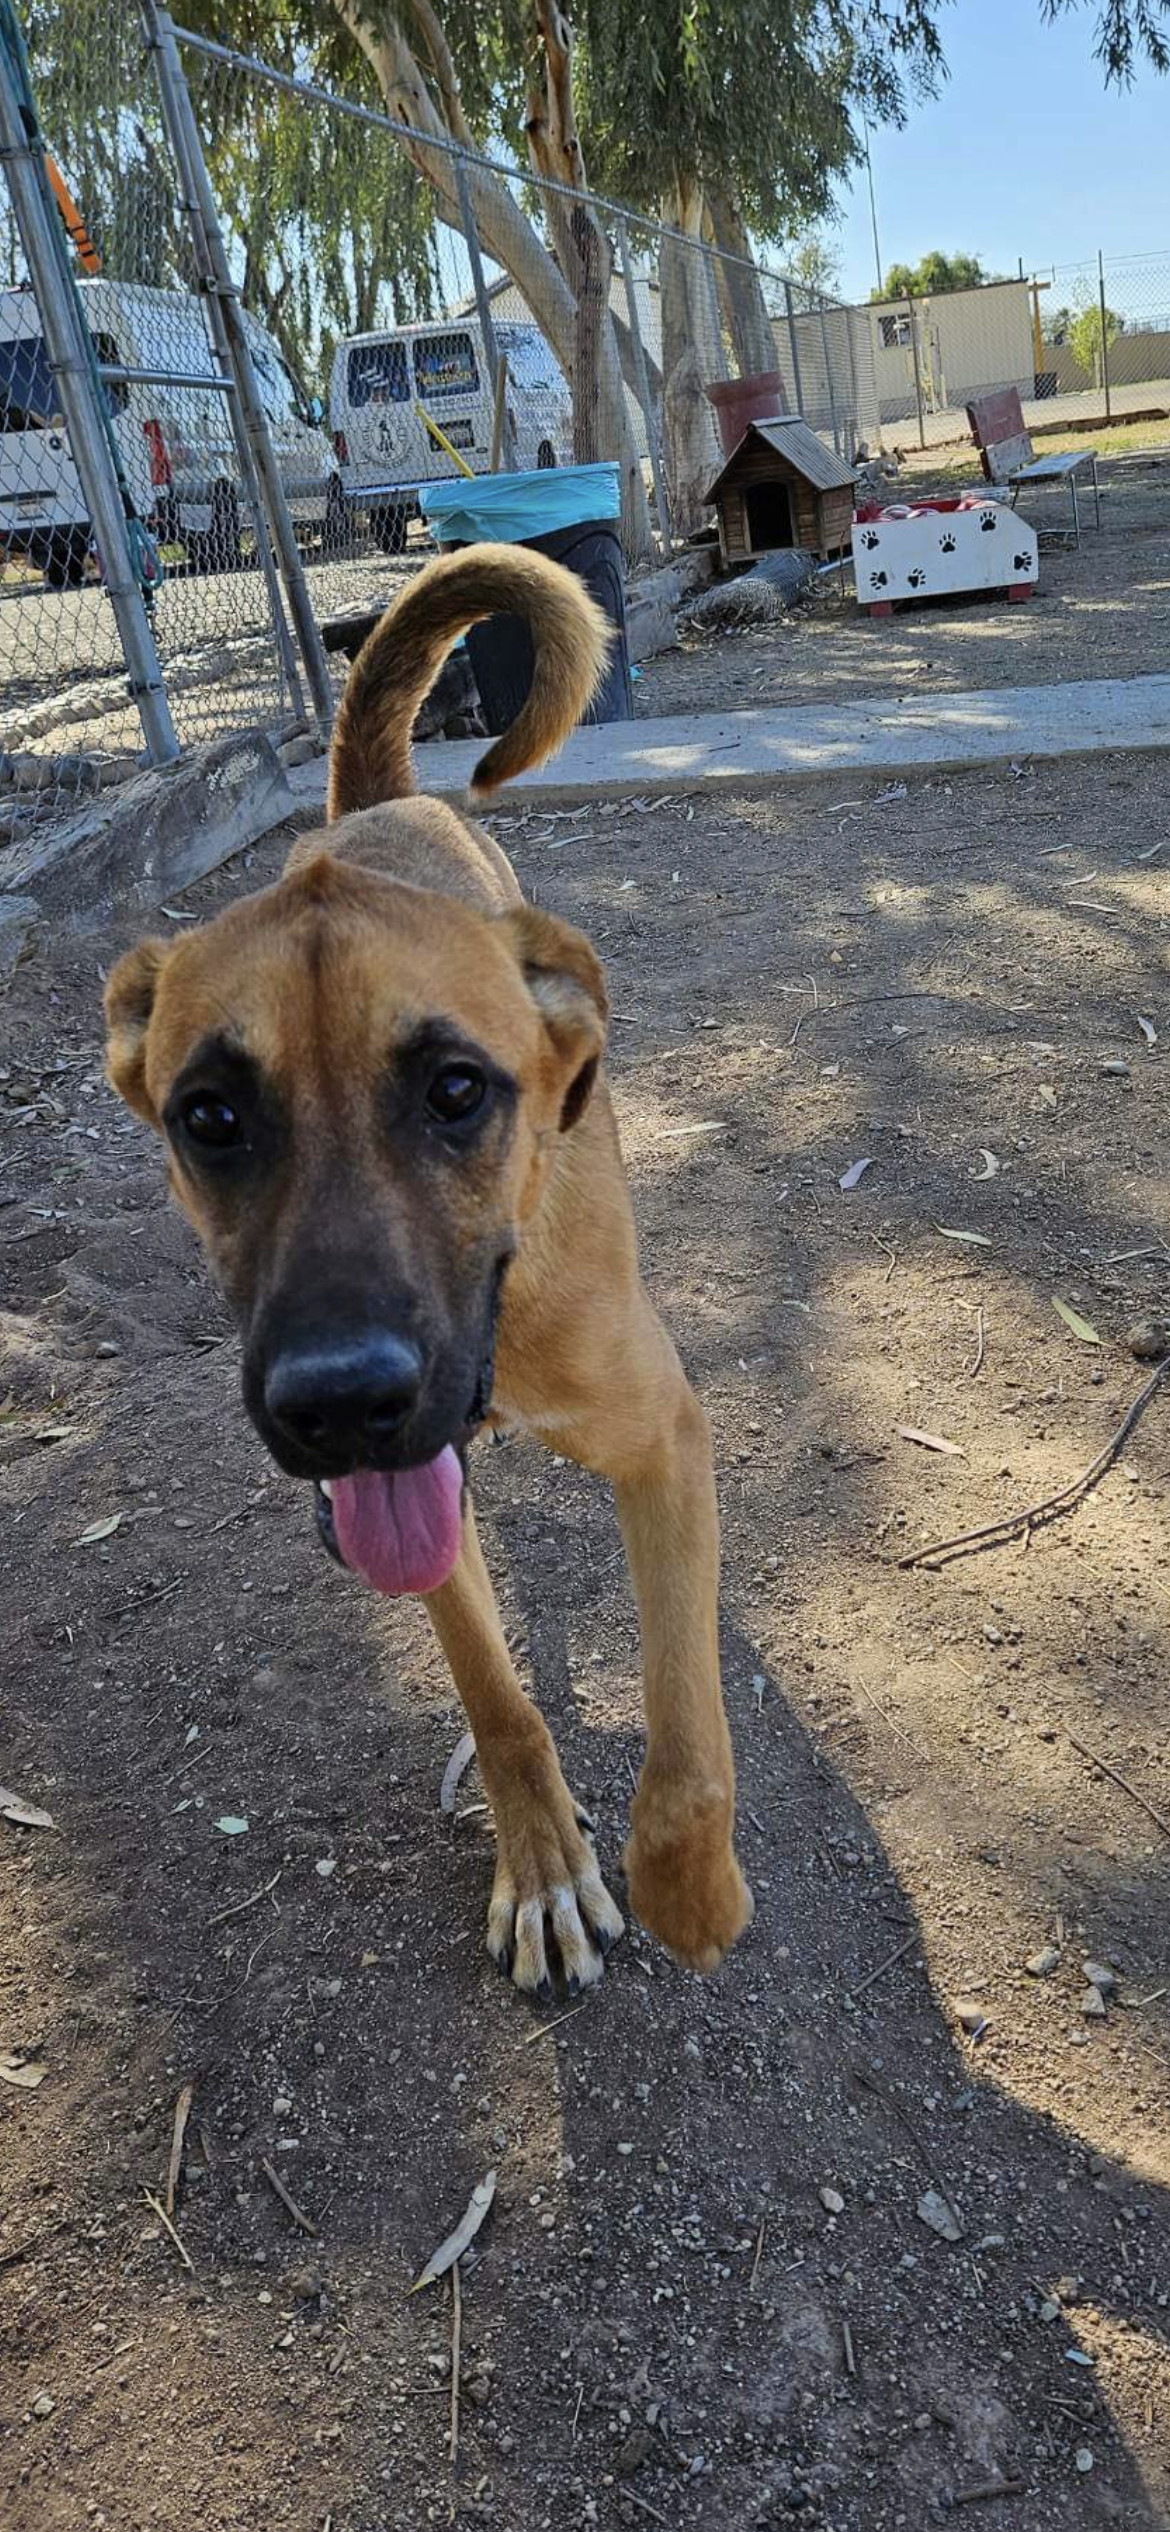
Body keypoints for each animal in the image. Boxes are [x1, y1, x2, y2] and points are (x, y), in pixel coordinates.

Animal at [105, 544, 754, 1985]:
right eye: (208, 1118)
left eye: (459, 1091)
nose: (340, 1404)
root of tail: (371, 807)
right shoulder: (411, 1501)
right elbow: (498, 1697)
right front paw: (544, 1864)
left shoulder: (666, 1438)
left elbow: (686, 1729)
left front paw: (687, 1886)